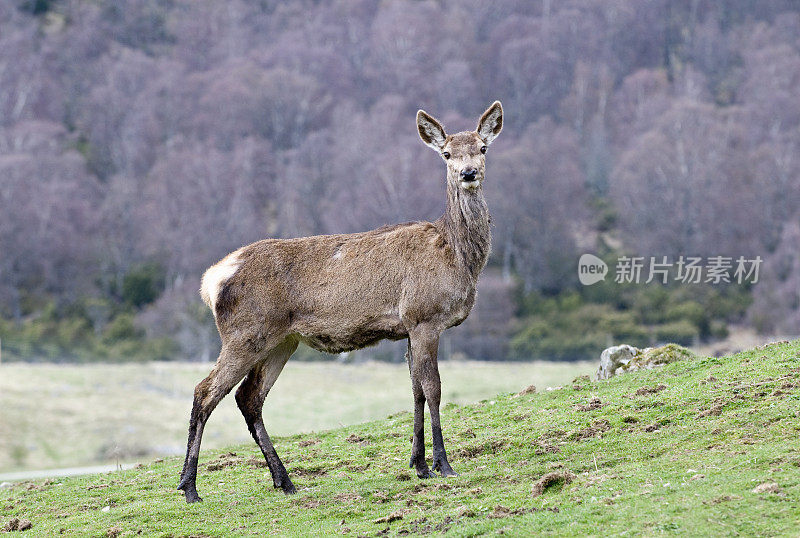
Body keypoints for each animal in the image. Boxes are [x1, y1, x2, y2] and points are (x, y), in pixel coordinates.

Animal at [178, 100, 504, 502]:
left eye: (482, 148)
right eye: (446, 154)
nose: (468, 173)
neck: (457, 258)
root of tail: (211, 281)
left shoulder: (409, 328)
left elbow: (415, 391)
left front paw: (419, 465)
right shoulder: (424, 317)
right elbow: (434, 389)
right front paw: (443, 465)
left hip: (280, 341)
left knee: (248, 398)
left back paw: (284, 480)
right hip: (244, 334)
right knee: (204, 392)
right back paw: (190, 487)